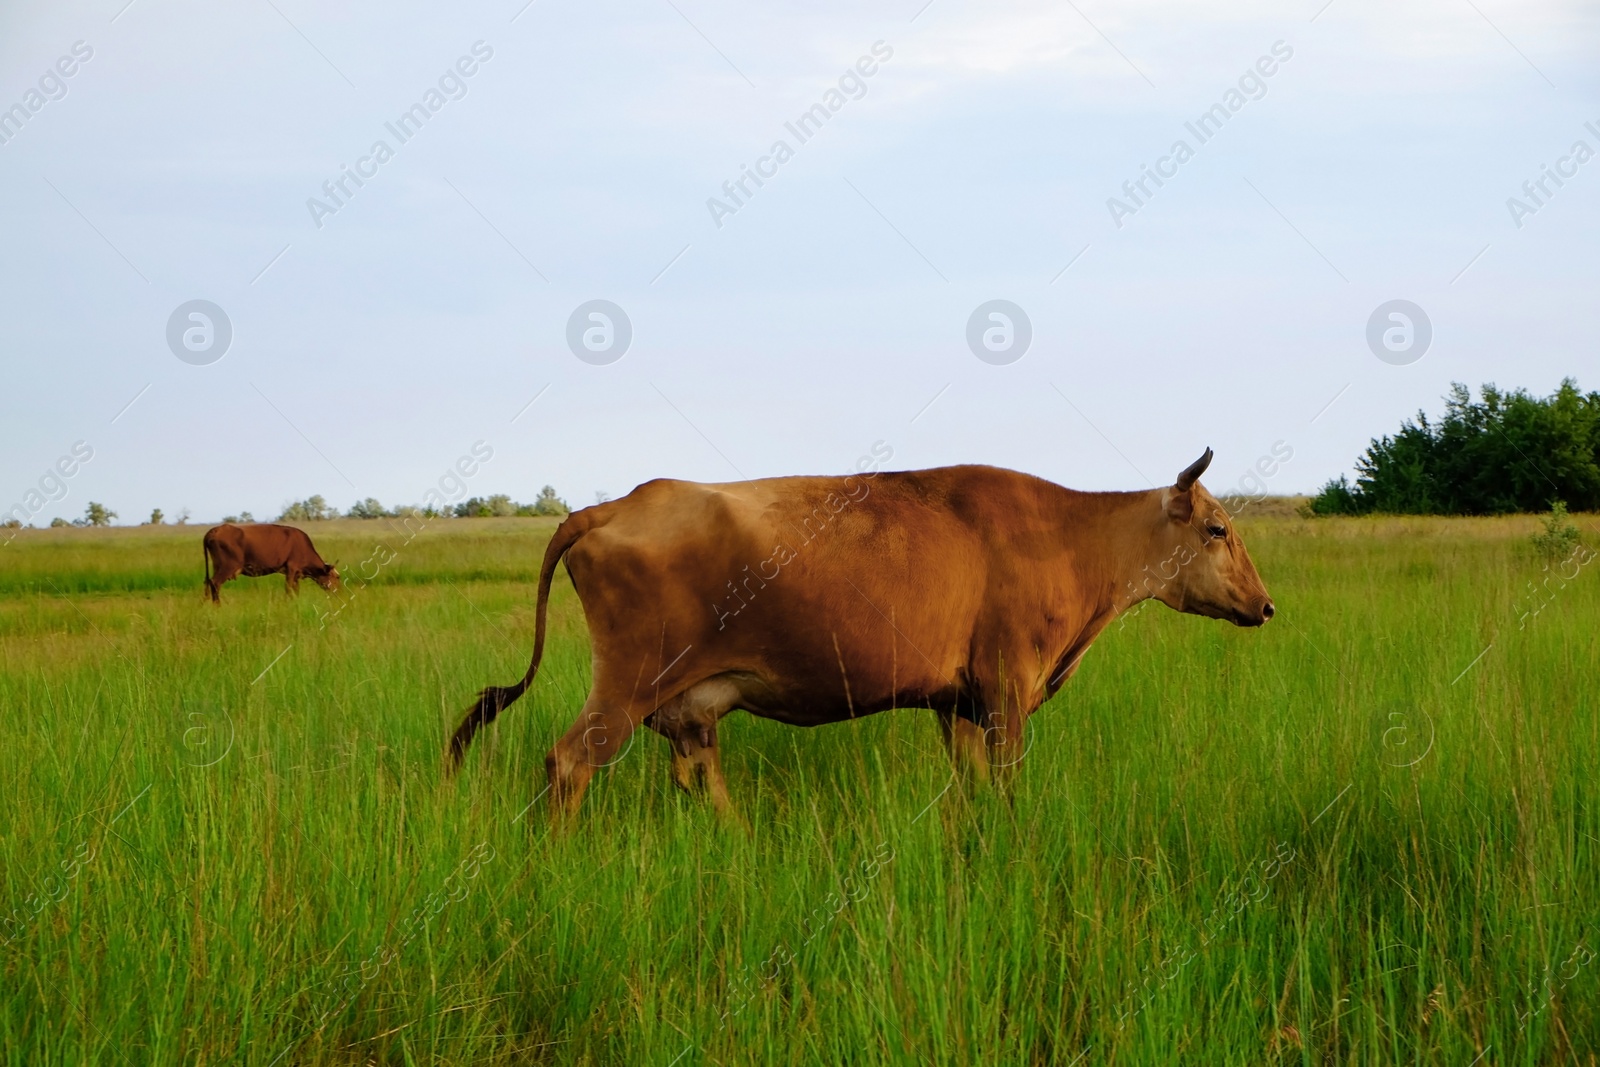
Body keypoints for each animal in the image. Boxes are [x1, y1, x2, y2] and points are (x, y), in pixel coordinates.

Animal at [201, 524, 339, 604]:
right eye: (337, 577)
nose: (339, 592)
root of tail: (215, 530)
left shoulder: (295, 573)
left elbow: (296, 589)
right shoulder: (291, 568)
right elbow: (288, 588)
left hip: (217, 566)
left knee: (210, 583)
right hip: (228, 566)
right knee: (215, 583)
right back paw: (218, 606)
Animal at [451, 451, 1273, 819]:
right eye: (1217, 528)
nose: (1266, 607)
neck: (1069, 537)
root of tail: (611, 505)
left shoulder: (956, 703)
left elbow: (970, 786)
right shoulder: (1007, 692)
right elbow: (1007, 787)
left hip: (684, 706)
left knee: (702, 776)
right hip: (623, 685)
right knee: (568, 762)